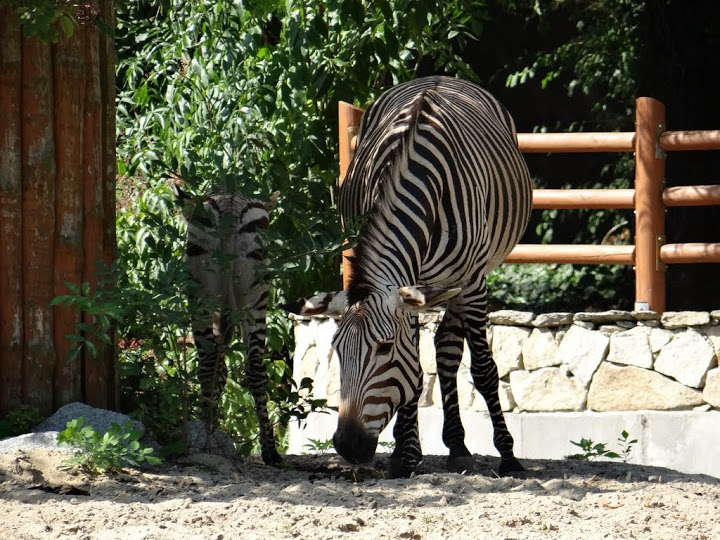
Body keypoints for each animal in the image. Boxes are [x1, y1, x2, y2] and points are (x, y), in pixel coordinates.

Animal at [175, 184, 282, 466]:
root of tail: (231, 206)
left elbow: (217, 367)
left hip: (204, 293)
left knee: (211, 360)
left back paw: (207, 437)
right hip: (255, 293)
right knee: (254, 366)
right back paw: (268, 450)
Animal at [291, 76, 532, 478]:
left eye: (384, 348)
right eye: (337, 350)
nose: (347, 445)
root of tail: (437, 77)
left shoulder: (471, 283)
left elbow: (484, 370)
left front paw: (509, 455)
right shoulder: (410, 289)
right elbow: (416, 373)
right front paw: (406, 455)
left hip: (464, 280)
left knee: (449, 349)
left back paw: (460, 446)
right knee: (442, 347)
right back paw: (449, 444)